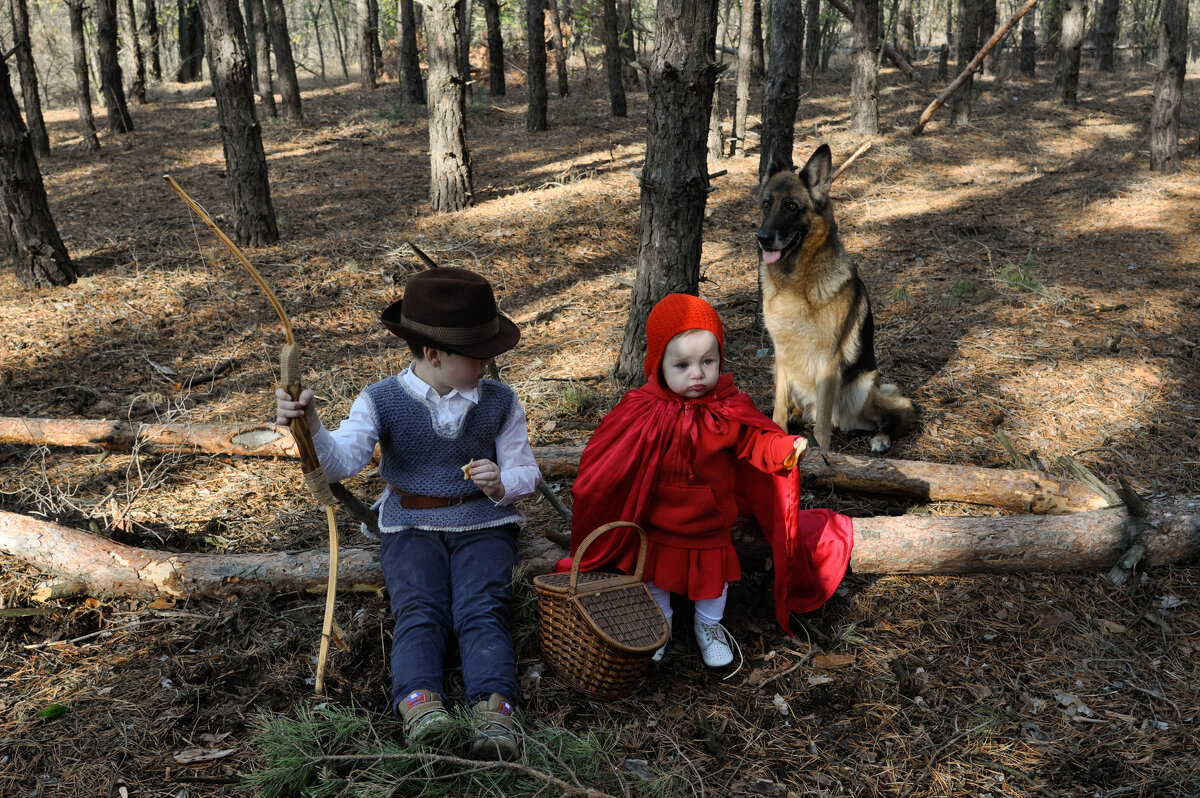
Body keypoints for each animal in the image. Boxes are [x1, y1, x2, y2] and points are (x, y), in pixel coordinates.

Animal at [753, 144, 912, 451]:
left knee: (901, 409)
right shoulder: (780, 355)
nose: (763, 239)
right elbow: (778, 408)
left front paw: (822, 451)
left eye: (791, 206)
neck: (795, 282)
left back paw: (882, 437)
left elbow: (823, 427)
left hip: (864, 386)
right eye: (766, 204)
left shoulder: (827, 361)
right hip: (782, 373)